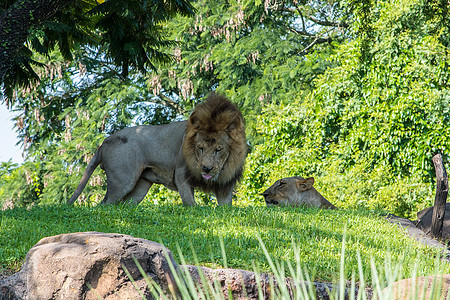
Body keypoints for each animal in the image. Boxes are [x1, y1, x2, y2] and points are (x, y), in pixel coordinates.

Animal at [67, 93, 246, 206]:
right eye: (200, 148)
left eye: (218, 149)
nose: (206, 168)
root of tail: (104, 141)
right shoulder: (181, 174)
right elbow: (190, 204)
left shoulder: (225, 185)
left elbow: (226, 206)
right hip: (122, 181)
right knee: (104, 204)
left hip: (140, 187)